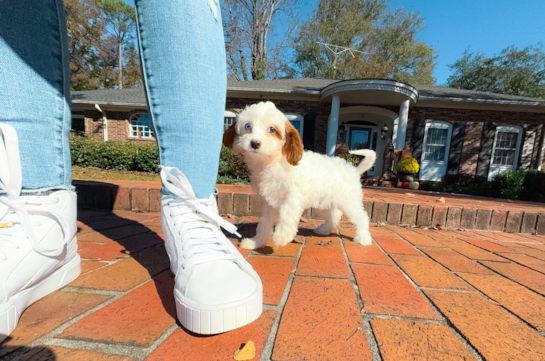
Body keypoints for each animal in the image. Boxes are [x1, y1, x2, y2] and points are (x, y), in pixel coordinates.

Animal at [223, 100, 376, 248]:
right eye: (248, 126)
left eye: (272, 129)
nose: (254, 143)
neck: (272, 161)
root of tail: (353, 170)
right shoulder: (268, 203)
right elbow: (263, 224)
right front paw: (256, 243)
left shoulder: (295, 196)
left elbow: (286, 213)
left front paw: (281, 237)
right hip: (325, 201)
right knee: (335, 215)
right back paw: (324, 230)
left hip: (348, 201)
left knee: (361, 217)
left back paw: (363, 239)